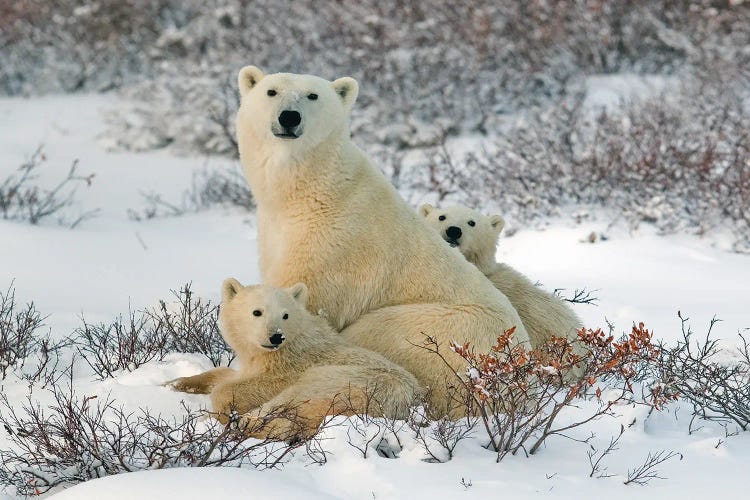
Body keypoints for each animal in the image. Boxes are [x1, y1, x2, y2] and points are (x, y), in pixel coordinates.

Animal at [168, 280, 424, 440]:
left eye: (285, 314)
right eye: (257, 312)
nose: (276, 336)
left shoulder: (293, 366)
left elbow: (245, 387)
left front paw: (221, 407)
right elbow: (225, 373)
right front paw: (174, 383)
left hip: (348, 383)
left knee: (293, 400)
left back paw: (240, 423)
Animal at [235, 67, 528, 418]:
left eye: (312, 95)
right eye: (272, 91)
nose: (289, 117)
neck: (311, 193)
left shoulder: (333, 250)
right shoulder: (274, 235)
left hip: (440, 331)